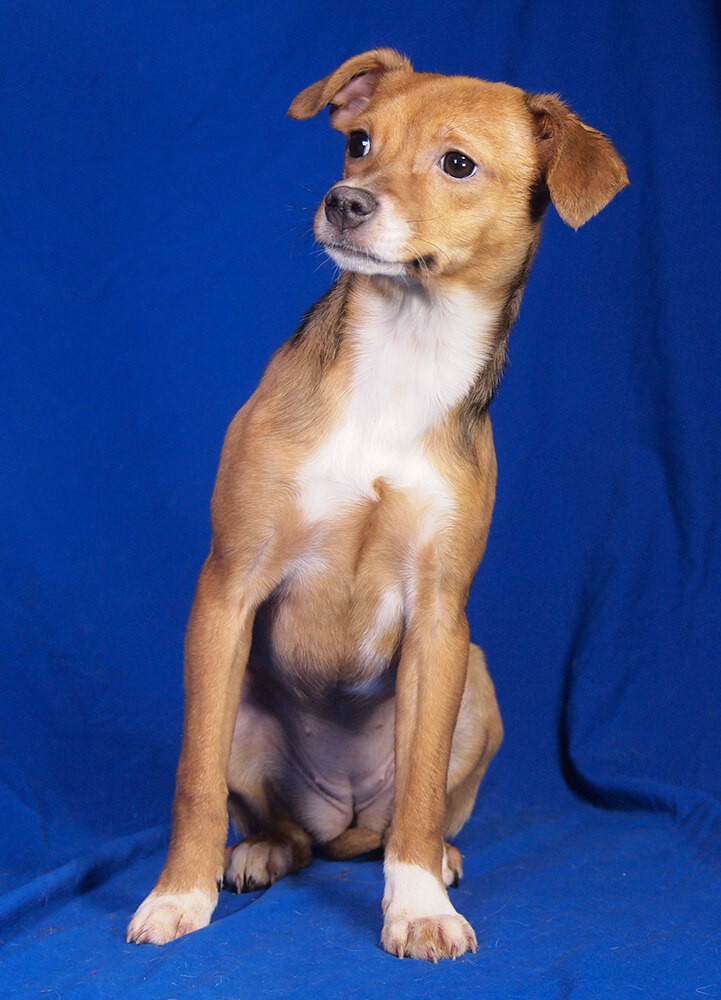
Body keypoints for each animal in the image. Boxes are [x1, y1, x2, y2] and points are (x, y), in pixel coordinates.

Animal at [127, 48, 627, 961]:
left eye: (457, 163)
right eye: (357, 142)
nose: (343, 201)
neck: (404, 353)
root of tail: (342, 816)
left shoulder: (439, 619)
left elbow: (422, 793)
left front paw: (417, 903)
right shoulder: (227, 588)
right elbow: (193, 780)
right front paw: (178, 894)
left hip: (478, 688)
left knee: (405, 817)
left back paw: (438, 857)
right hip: (244, 704)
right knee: (281, 824)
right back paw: (258, 851)